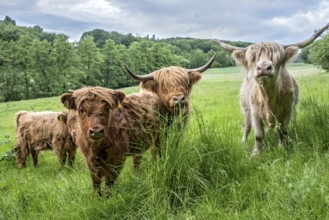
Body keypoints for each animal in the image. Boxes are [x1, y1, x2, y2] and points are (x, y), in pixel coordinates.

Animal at [213, 23, 328, 156]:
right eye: (253, 58)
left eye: (277, 57)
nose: (263, 67)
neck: (269, 96)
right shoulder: (255, 111)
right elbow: (258, 135)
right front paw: (255, 153)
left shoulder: (288, 110)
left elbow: (282, 131)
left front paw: (282, 148)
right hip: (245, 109)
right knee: (246, 126)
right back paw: (243, 142)